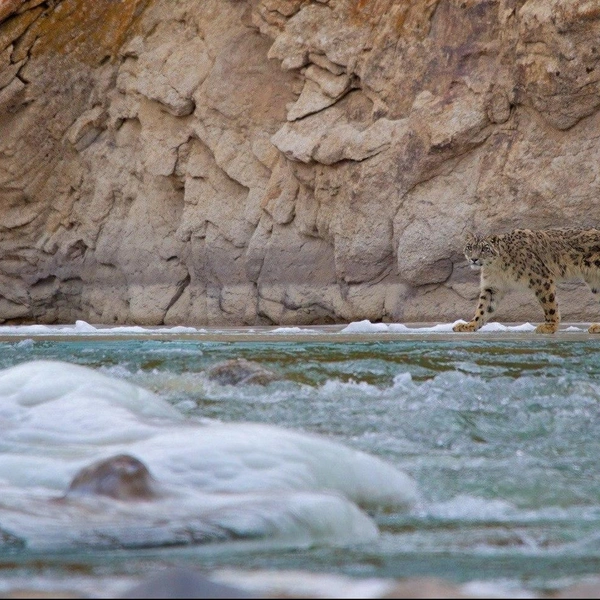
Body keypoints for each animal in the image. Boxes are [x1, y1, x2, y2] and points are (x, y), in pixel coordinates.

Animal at [452, 229, 600, 336]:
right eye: (470, 247)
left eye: (484, 248)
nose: (474, 259)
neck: (496, 268)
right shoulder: (492, 287)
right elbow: (483, 308)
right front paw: (469, 325)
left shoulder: (541, 279)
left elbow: (549, 305)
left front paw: (549, 326)